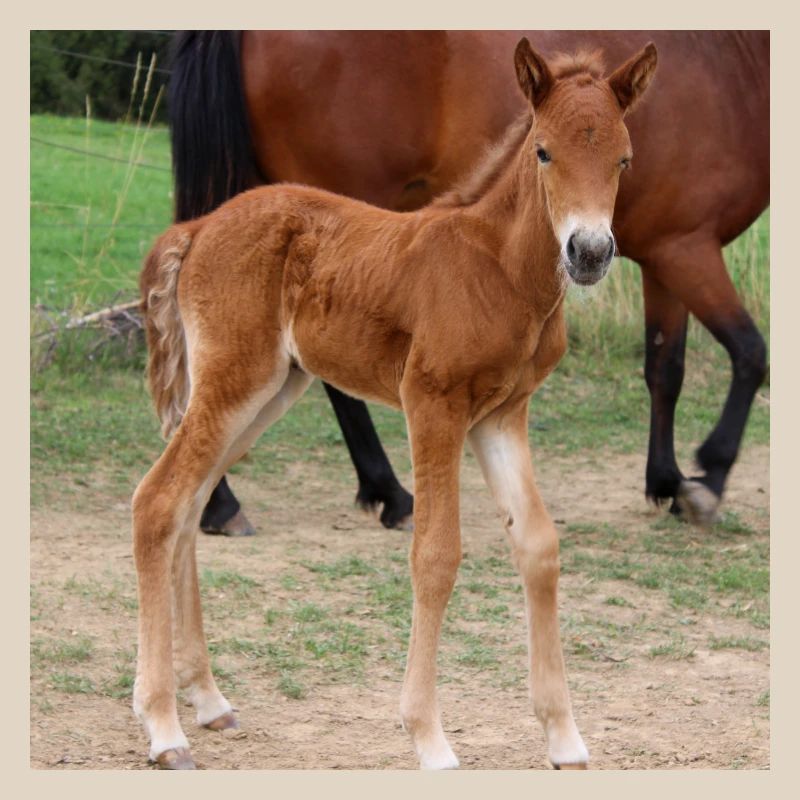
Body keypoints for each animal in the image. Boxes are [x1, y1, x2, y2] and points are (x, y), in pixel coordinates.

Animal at [133, 40, 658, 770]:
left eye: (624, 158)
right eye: (544, 152)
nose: (589, 252)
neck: (498, 268)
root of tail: (200, 225)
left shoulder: (501, 415)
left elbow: (539, 547)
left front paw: (564, 738)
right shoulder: (432, 402)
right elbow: (435, 555)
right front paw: (429, 738)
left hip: (269, 390)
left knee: (188, 505)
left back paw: (209, 701)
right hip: (235, 380)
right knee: (157, 501)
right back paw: (163, 727)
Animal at [168, 30, 768, 535]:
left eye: (625, 160)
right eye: (543, 152)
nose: (591, 253)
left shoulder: (664, 254)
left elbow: (665, 366)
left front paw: (666, 481)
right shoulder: (688, 247)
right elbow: (750, 353)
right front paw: (707, 480)